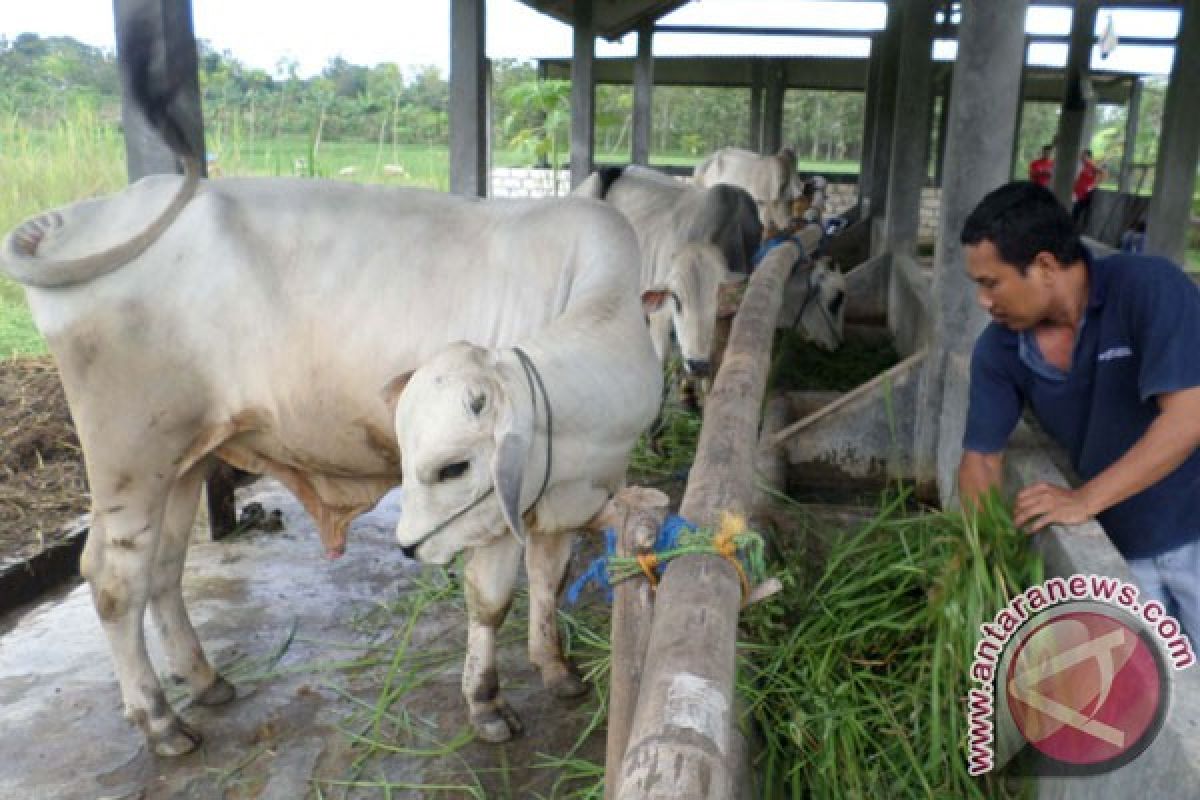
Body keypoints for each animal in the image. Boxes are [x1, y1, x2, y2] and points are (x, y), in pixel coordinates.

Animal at [0, 35, 662, 758]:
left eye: (452, 466)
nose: (408, 548)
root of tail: (82, 215)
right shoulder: (499, 513)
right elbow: (492, 601)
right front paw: (486, 704)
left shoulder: (566, 496)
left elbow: (549, 579)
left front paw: (557, 668)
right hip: (129, 459)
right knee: (114, 581)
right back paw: (158, 718)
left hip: (182, 459)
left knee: (164, 569)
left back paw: (204, 679)